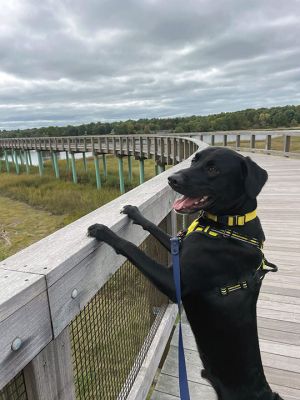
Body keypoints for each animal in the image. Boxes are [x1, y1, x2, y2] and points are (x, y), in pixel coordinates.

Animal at [88, 147, 282, 400]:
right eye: (194, 161)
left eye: (213, 169)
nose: (172, 179)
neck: (229, 225)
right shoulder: (178, 246)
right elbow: (154, 226)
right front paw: (135, 213)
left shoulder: (174, 282)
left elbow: (129, 247)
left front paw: (104, 231)